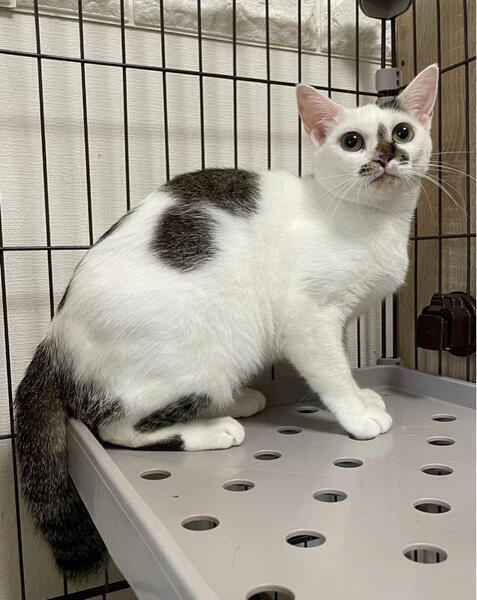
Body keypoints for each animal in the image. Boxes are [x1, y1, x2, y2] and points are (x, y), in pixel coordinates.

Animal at [15, 64, 438, 579]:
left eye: (403, 132)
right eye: (352, 141)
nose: (385, 155)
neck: (371, 221)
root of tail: (55, 335)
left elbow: (343, 365)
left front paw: (363, 396)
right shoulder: (309, 317)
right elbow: (331, 370)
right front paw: (357, 414)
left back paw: (237, 401)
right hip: (196, 357)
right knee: (115, 428)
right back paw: (214, 429)